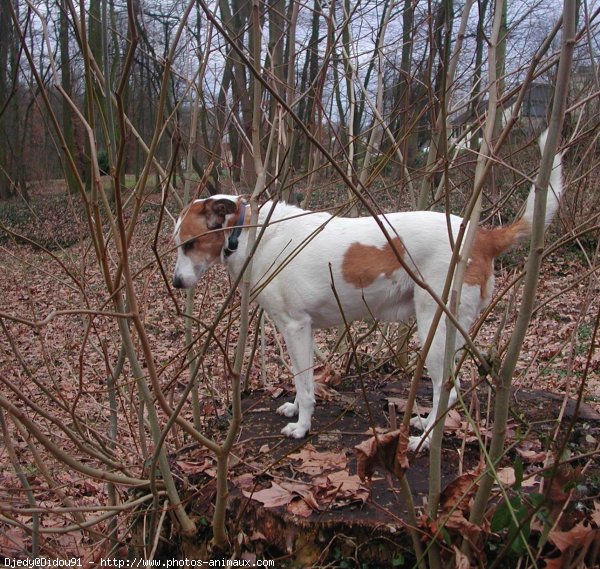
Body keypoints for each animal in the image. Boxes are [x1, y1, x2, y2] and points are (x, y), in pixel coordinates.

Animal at [172, 135, 564, 450]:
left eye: (191, 244)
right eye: (178, 245)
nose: (175, 283)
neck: (252, 233)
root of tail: (482, 236)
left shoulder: (295, 327)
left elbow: (304, 383)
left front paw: (302, 426)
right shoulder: (304, 331)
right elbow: (304, 380)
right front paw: (297, 409)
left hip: (434, 330)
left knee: (447, 389)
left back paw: (423, 440)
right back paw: (424, 423)